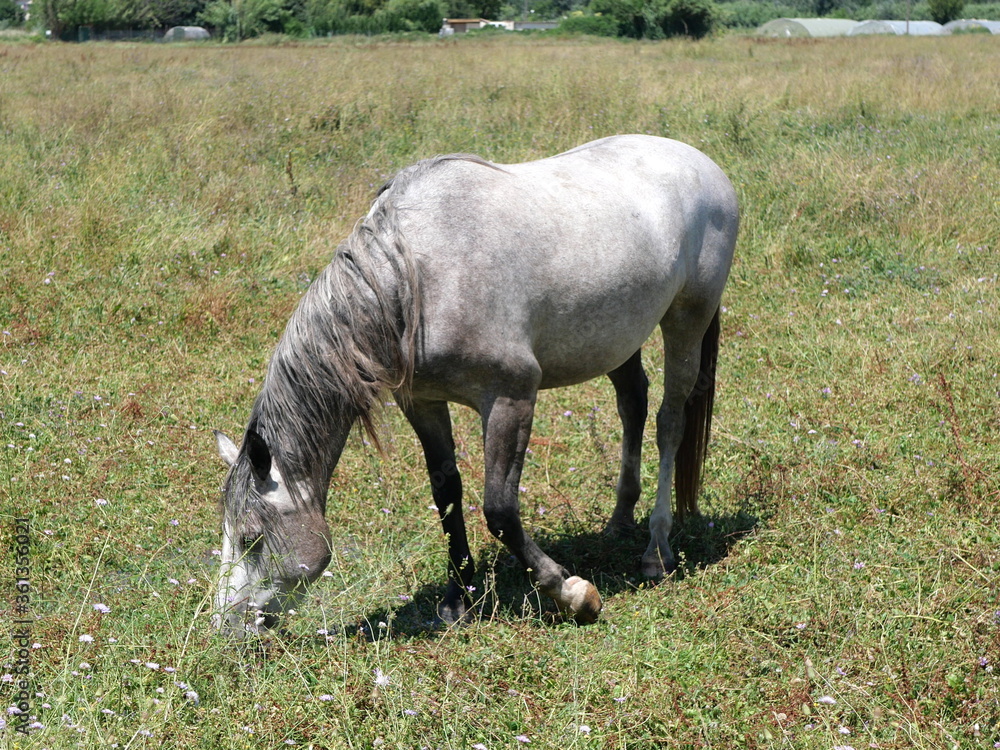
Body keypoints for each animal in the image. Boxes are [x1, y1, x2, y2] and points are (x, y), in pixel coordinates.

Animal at [212, 134, 739, 634]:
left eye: (251, 538)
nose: (226, 624)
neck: (416, 279)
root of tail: (705, 164)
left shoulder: (512, 396)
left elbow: (500, 510)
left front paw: (572, 594)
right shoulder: (422, 403)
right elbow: (447, 495)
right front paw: (457, 598)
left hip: (687, 318)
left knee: (671, 422)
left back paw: (656, 549)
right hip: (618, 337)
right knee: (633, 403)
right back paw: (618, 521)